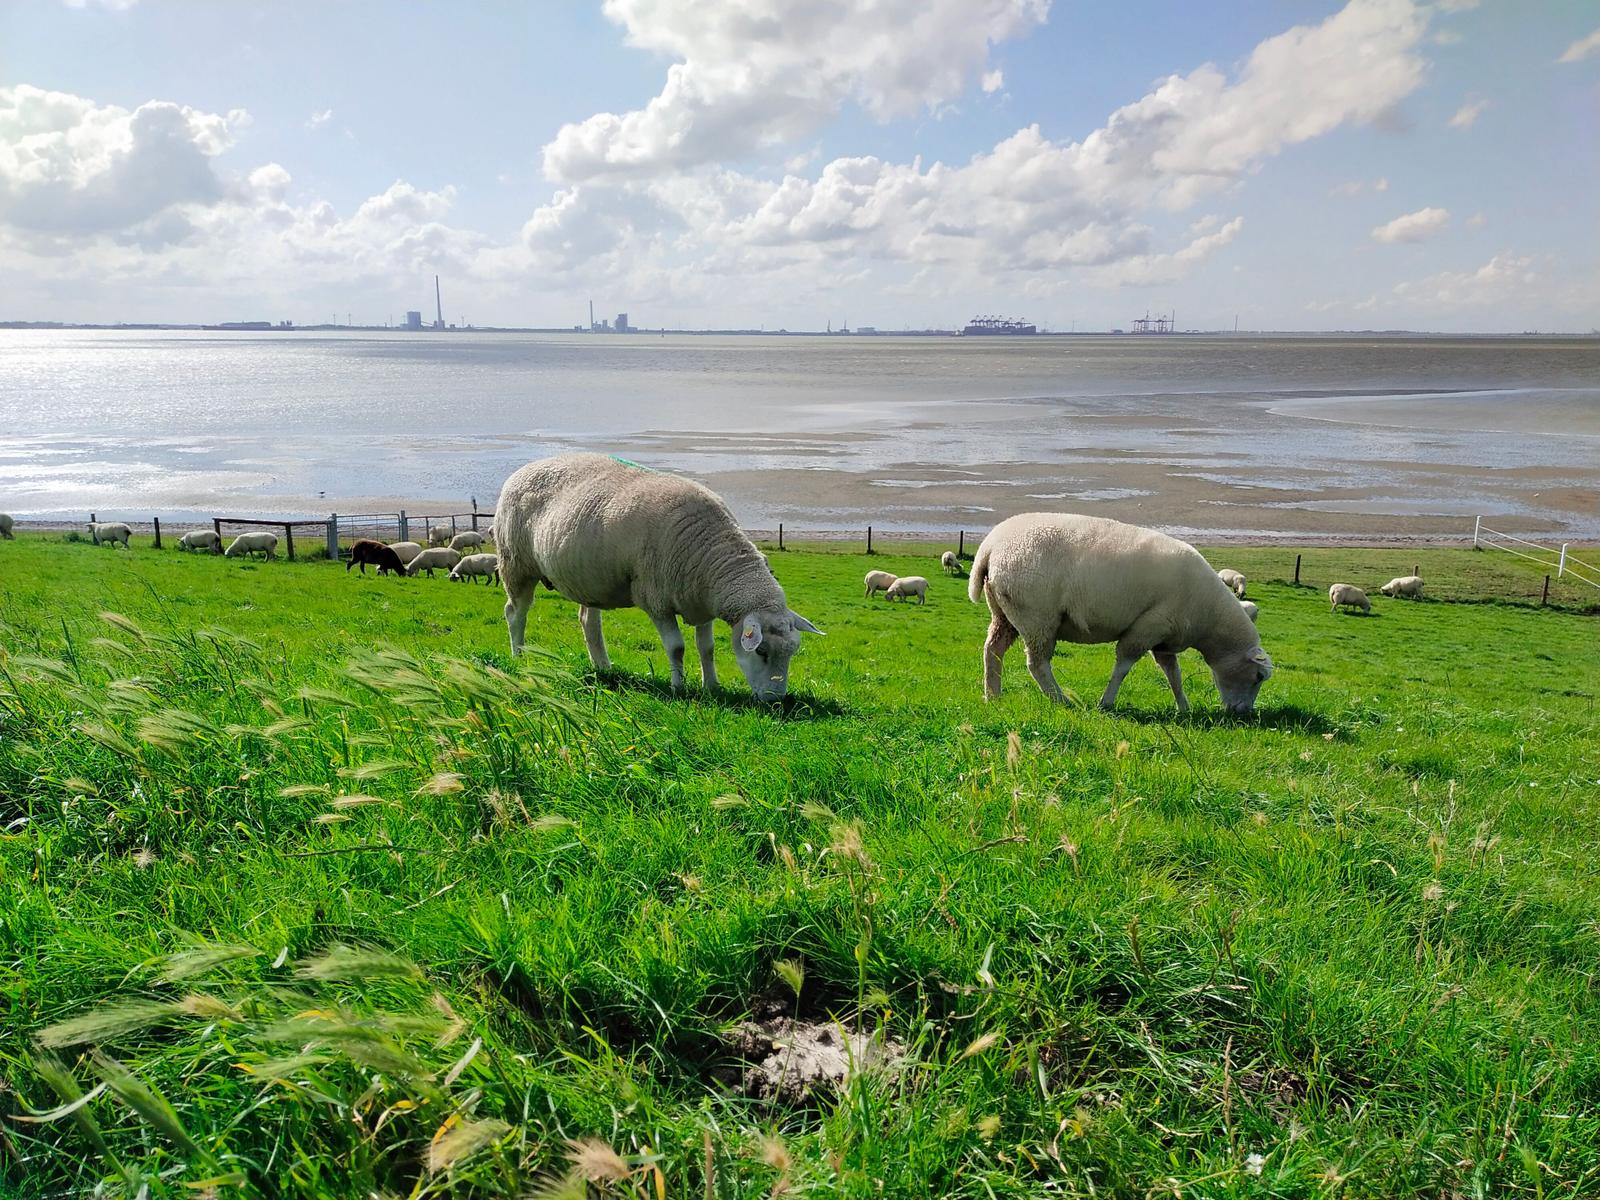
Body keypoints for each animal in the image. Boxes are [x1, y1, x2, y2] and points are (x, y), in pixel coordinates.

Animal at [494, 452, 822, 701]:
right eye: (762, 651)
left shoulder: (700, 602)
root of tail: (524, 468)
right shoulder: (656, 600)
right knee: (515, 613)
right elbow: (676, 648)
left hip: (588, 576)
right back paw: (519, 656)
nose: (776, 701)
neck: (711, 553)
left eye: (793, 652)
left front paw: (712, 686)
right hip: (516, 564)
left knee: (588, 621)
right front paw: (679, 688)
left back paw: (603, 666)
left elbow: (707, 648)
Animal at [969, 513, 1273, 715]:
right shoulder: (1148, 627)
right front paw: (1106, 703)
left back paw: (992, 696)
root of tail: (990, 547)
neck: (1210, 620)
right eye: (1258, 677)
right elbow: (1123, 666)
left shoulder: (1164, 637)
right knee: (1037, 664)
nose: (1243, 714)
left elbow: (1173, 674)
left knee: (993, 650)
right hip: (1037, 616)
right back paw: (1060, 700)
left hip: (1005, 613)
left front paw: (1184, 708)